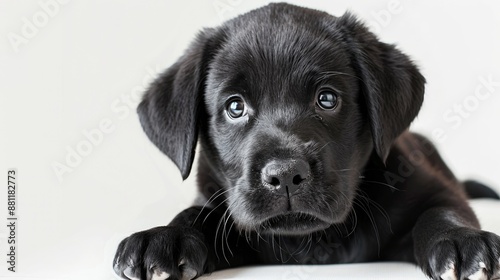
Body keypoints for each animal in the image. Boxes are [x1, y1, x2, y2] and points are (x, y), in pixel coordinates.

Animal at [113, 2, 500, 280]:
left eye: (326, 99)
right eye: (235, 107)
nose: (285, 175)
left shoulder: (431, 188)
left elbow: (443, 210)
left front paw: (461, 241)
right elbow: (196, 214)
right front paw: (163, 236)